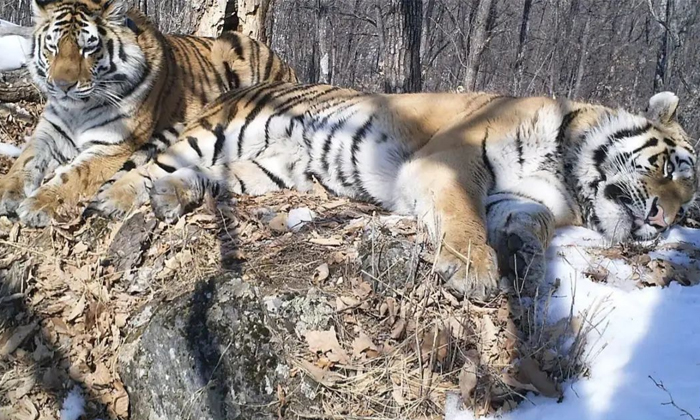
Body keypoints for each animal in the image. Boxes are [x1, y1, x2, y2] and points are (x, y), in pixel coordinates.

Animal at [0, 0, 298, 228]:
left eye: (88, 48)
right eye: (52, 47)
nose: (62, 86)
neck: (78, 109)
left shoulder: (113, 146)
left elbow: (72, 177)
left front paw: (37, 205)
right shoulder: (49, 132)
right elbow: (24, 163)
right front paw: (6, 193)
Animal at [85, 82, 696, 298]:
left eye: (691, 205)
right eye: (670, 168)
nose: (665, 221)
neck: (566, 171)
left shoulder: (524, 198)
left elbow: (530, 224)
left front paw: (523, 258)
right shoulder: (451, 160)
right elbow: (463, 216)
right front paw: (473, 271)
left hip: (267, 171)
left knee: (205, 180)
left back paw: (171, 197)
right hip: (218, 134)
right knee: (145, 166)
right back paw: (114, 199)